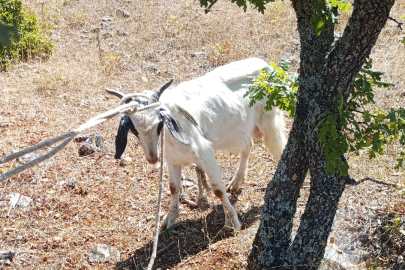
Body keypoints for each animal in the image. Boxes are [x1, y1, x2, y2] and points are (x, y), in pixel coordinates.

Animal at [105, 58, 286, 231]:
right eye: (133, 129)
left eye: (159, 123)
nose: (152, 158)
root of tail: (266, 65)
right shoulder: (172, 160)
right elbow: (173, 187)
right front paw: (170, 219)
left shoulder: (205, 153)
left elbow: (217, 189)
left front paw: (233, 222)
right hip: (243, 129)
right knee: (248, 146)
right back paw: (236, 182)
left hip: (269, 121)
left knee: (278, 147)